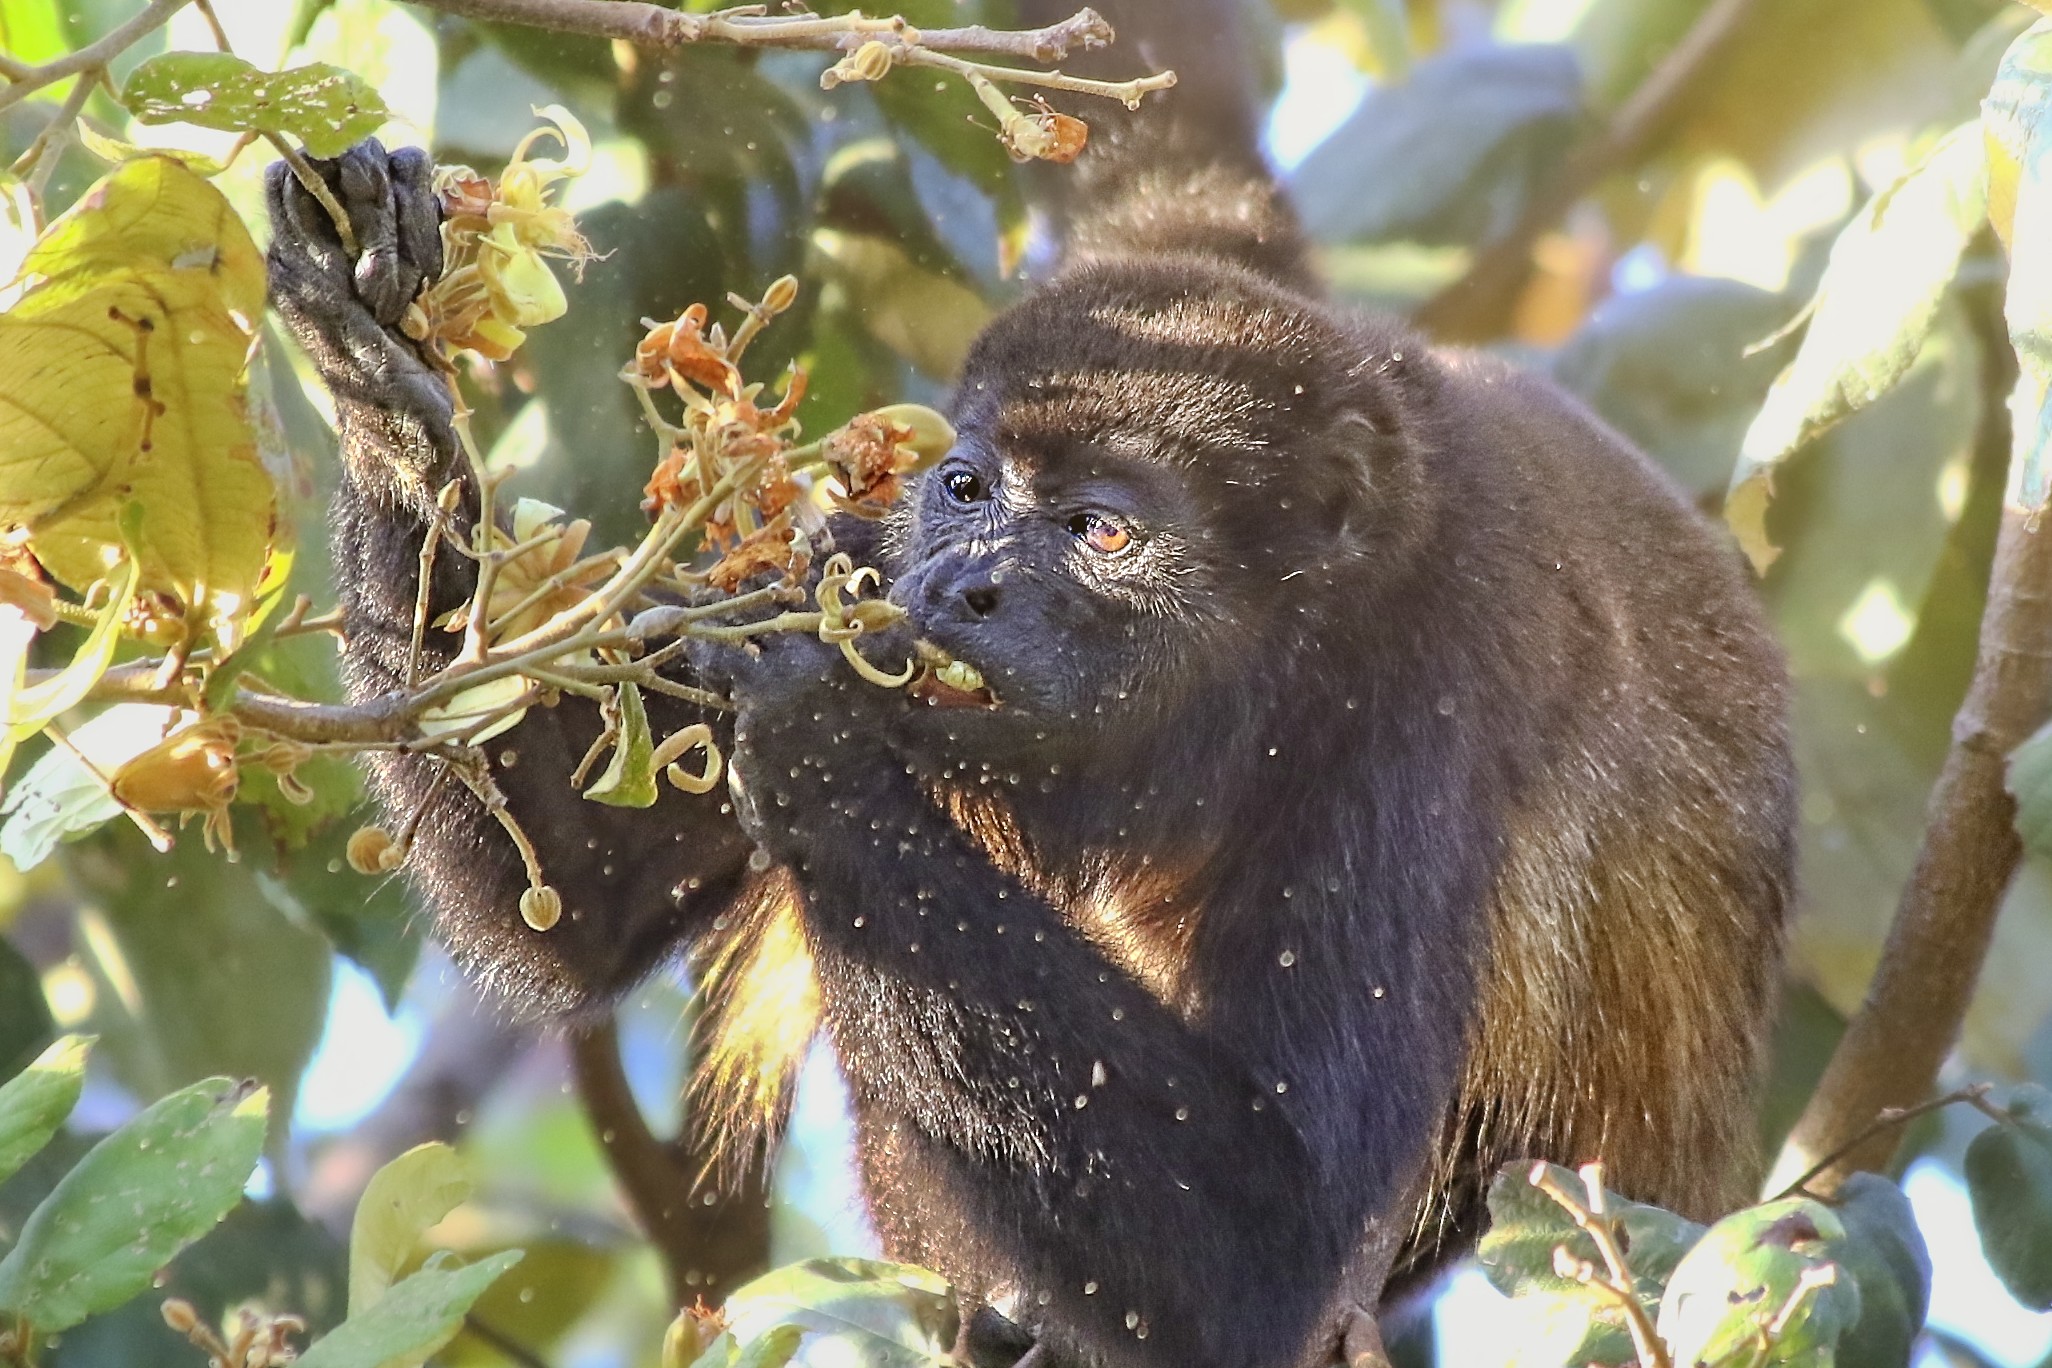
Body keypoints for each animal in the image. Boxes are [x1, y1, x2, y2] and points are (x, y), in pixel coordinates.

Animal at [263, 4, 1796, 1364]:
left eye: (1101, 531)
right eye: (967, 489)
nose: (960, 589)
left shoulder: (1420, 710)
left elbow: (1263, 1240)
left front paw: (814, 719)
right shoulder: (847, 537)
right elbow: (579, 898)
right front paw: (384, 379)